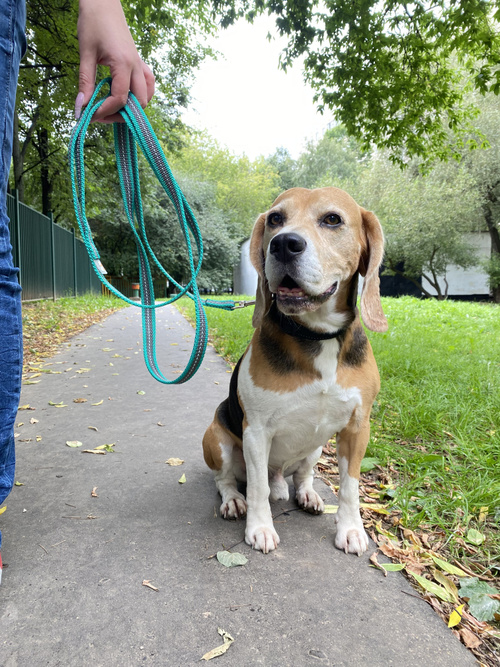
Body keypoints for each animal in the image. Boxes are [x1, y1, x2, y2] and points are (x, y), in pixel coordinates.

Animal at [202, 187, 386, 552]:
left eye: (332, 219)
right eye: (275, 219)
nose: (284, 243)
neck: (318, 334)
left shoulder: (358, 427)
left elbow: (350, 487)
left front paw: (351, 529)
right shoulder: (256, 431)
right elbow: (257, 488)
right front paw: (259, 528)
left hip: (314, 448)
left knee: (302, 474)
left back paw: (308, 495)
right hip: (217, 439)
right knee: (227, 479)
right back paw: (234, 501)